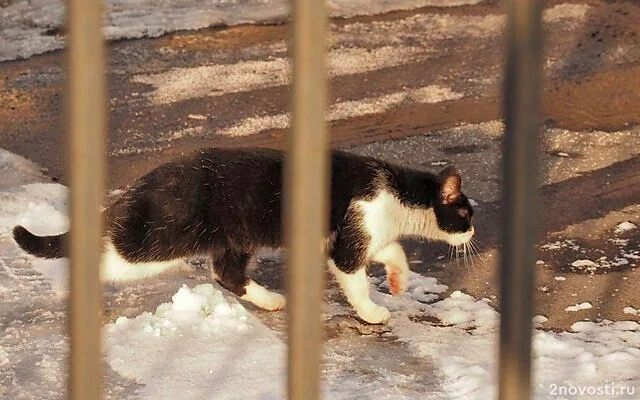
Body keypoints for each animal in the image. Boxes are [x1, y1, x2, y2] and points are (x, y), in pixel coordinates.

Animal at [13, 148, 476, 324]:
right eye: (466, 212)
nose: (474, 230)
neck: (396, 192)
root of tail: (144, 183)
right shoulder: (350, 235)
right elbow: (356, 276)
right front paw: (372, 310)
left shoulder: (364, 232)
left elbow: (393, 251)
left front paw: (397, 281)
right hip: (157, 239)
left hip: (232, 238)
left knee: (227, 273)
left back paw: (269, 299)